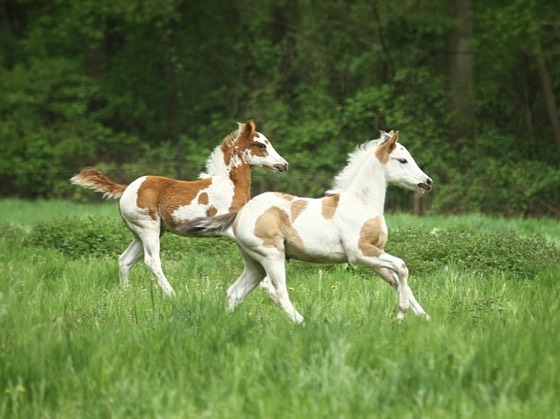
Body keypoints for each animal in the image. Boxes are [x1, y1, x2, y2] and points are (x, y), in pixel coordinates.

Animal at [71, 120, 288, 296]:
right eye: (261, 145)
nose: (284, 165)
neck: (230, 185)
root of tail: (127, 188)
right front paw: (268, 286)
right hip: (148, 228)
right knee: (152, 261)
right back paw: (171, 294)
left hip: (146, 233)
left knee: (125, 260)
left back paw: (126, 293)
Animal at [180, 131, 434, 324]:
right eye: (403, 160)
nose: (427, 182)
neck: (361, 203)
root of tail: (239, 214)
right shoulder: (359, 253)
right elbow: (402, 267)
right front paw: (401, 314)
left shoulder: (375, 256)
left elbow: (397, 280)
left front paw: (424, 317)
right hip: (272, 256)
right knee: (277, 293)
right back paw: (304, 324)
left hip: (254, 264)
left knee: (234, 292)